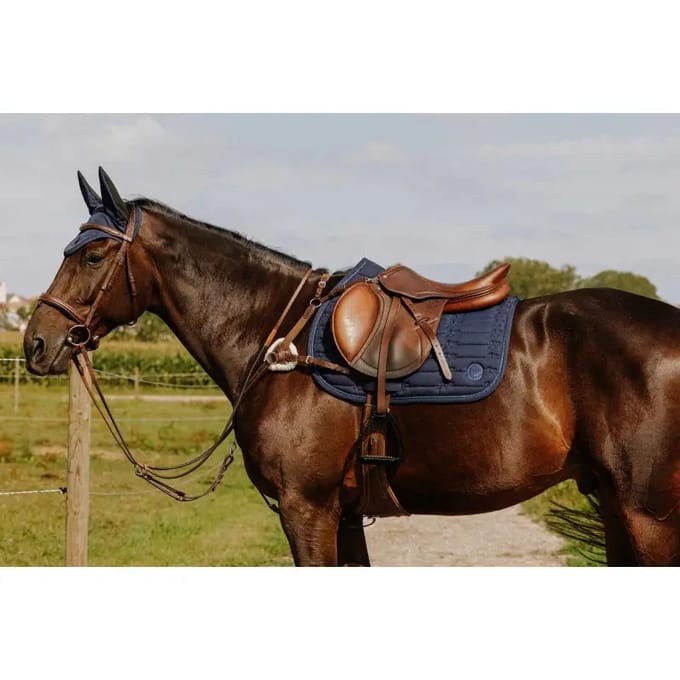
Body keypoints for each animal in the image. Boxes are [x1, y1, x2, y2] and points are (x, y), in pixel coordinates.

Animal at [23, 168, 680, 566]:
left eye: (93, 254)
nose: (35, 343)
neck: (277, 338)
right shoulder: (341, 514)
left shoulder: (306, 508)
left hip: (649, 516)